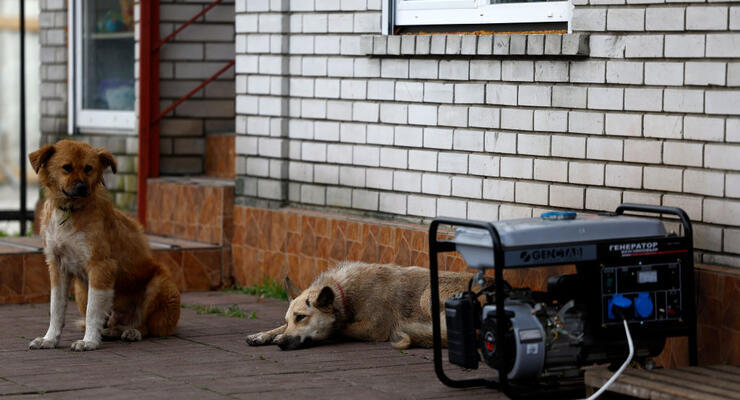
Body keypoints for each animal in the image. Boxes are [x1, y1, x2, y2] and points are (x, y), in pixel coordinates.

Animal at [28, 140, 181, 350]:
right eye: (66, 168)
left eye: (88, 168)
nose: (82, 187)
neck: (70, 210)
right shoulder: (57, 267)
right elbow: (56, 309)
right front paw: (50, 339)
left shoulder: (101, 266)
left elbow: (93, 311)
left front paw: (89, 341)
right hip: (80, 289)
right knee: (110, 321)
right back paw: (111, 331)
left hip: (160, 284)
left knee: (145, 326)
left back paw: (132, 332)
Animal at [246, 260, 480, 348]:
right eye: (290, 319)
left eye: (301, 317)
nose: (280, 344)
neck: (345, 294)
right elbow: (279, 328)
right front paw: (264, 335)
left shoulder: (373, 329)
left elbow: (338, 328)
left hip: (427, 295)